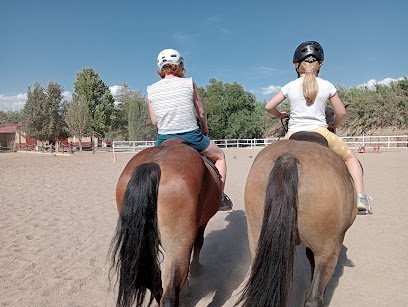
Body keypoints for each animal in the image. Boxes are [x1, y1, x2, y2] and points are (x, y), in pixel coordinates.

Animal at [110, 140, 222, 307]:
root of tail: (153, 165)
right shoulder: (202, 223)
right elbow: (199, 242)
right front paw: (196, 270)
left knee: (154, 282)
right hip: (177, 245)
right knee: (169, 296)